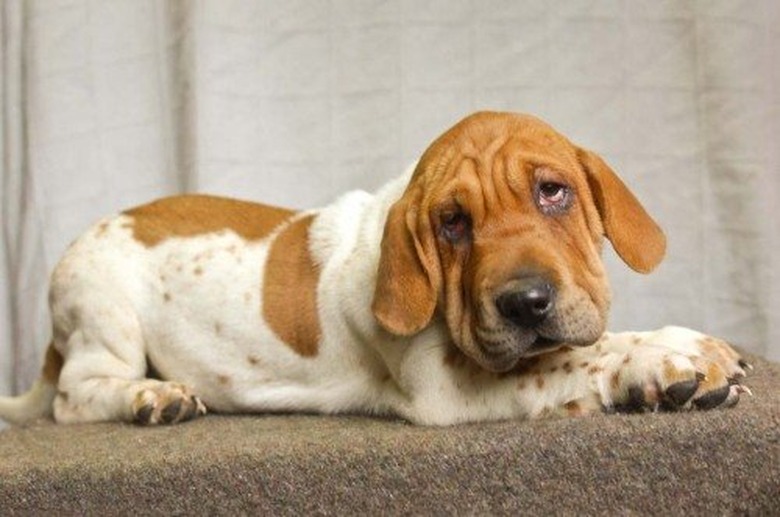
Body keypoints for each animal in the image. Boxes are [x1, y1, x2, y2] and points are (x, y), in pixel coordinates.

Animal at [0, 111, 748, 426]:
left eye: (553, 192)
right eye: (452, 223)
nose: (525, 302)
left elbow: (575, 347)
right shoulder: (444, 386)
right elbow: (565, 359)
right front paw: (661, 360)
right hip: (107, 320)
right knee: (75, 398)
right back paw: (150, 398)